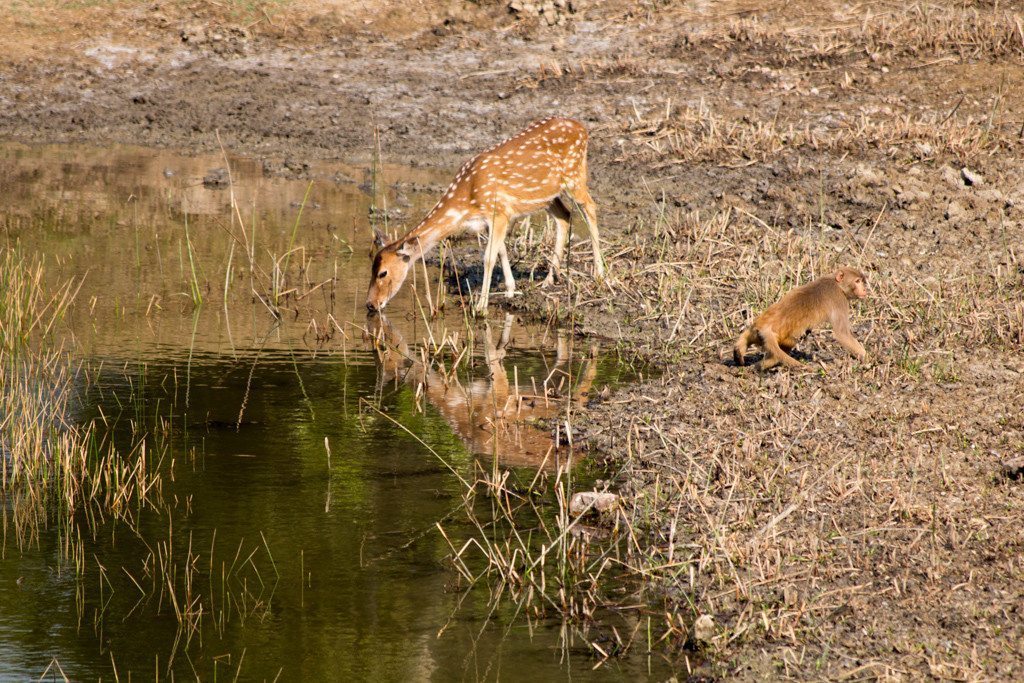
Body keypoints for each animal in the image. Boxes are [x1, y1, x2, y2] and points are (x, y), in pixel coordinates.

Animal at [366, 116, 598, 313]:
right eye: (372, 268)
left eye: (383, 272)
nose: (371, 304)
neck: (467, 202)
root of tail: (582, 128)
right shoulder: (489, 221)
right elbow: (501, 251)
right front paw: (510, 289)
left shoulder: (500, 212)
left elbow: (488, 257)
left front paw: (480, 307)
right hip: (549, 194)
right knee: (564, 216)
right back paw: (549, 279)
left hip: (575, 176)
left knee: (590, 207)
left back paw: (599, 274)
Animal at [733, 270, 868, 370]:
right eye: (857, 281)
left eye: (861, 281)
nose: (864, 289)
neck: (837, 284)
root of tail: (764, 326)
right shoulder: (840, 300)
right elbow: (842, 333)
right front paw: (865, 357)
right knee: (793, 340)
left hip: (756, 331)